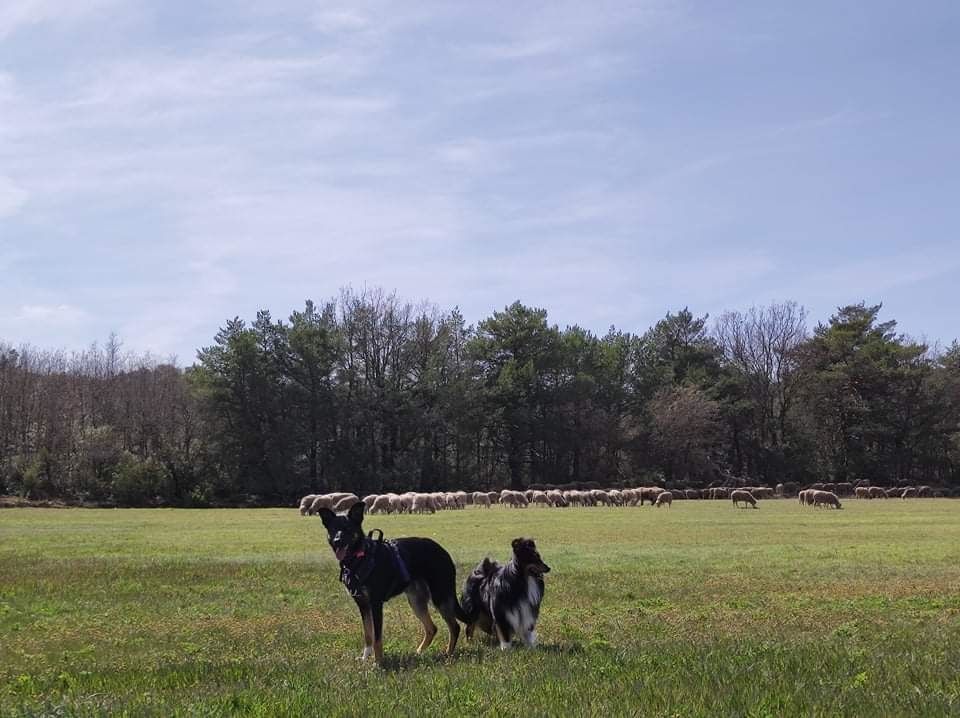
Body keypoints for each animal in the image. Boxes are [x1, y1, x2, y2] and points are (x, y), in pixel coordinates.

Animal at [318, 500, 468, 664]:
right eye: (333, 529)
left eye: (348, 529)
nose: (337, 541)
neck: (359, 558)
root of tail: (444, 552)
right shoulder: (363, 605)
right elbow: (368, 635)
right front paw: (365, 658)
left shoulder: (376, 604)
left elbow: (377, 638)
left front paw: (378, 663)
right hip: (416, 601)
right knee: (432, 628)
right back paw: (419, 652)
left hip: (439, 596)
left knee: (454, 627)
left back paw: (448, 655)